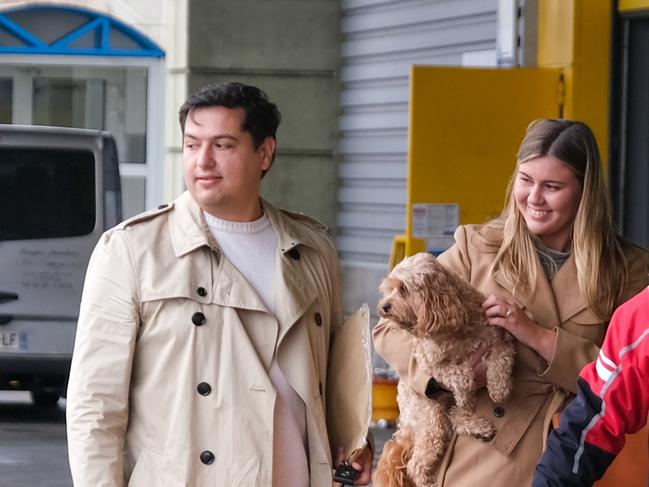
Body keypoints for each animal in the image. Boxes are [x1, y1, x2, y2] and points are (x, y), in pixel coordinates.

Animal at [372, 254, 512, 486]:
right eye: (390, 289)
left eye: (403, 288)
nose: (383, 306)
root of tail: (406, 424)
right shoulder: (429, 363)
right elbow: (462, 375)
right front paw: (467, 394)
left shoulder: (499, 339)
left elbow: (502, 361)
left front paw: (499, 390)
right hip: (430, 415)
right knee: (415, 464)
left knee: (455, 418)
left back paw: (477, 426)